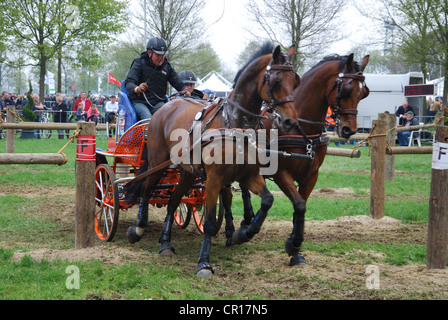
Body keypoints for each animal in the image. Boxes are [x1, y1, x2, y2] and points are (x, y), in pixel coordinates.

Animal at [123, 42, 300, 278]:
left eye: (295, 80)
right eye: (277, 81)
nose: (290, 121)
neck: (234, 123)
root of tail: (163, 109)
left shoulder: (248, 175)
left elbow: (267, 200)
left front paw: (243, 233)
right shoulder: (214, 179)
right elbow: (208, 221)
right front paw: (204, 263)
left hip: (188, 173)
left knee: (173, 201)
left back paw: (166, 243)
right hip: (157, 163)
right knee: (145, 188)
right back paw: (139, 228)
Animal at [229, 53, 370, 264]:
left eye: (363, 93)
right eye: (345, 89)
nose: (349, 129)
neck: (301, 129)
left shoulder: (311, 175)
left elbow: (300, 207)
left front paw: (295, 251)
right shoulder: (280, 173)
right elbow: (299, 204)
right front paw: (293, 244)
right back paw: (242, 226)